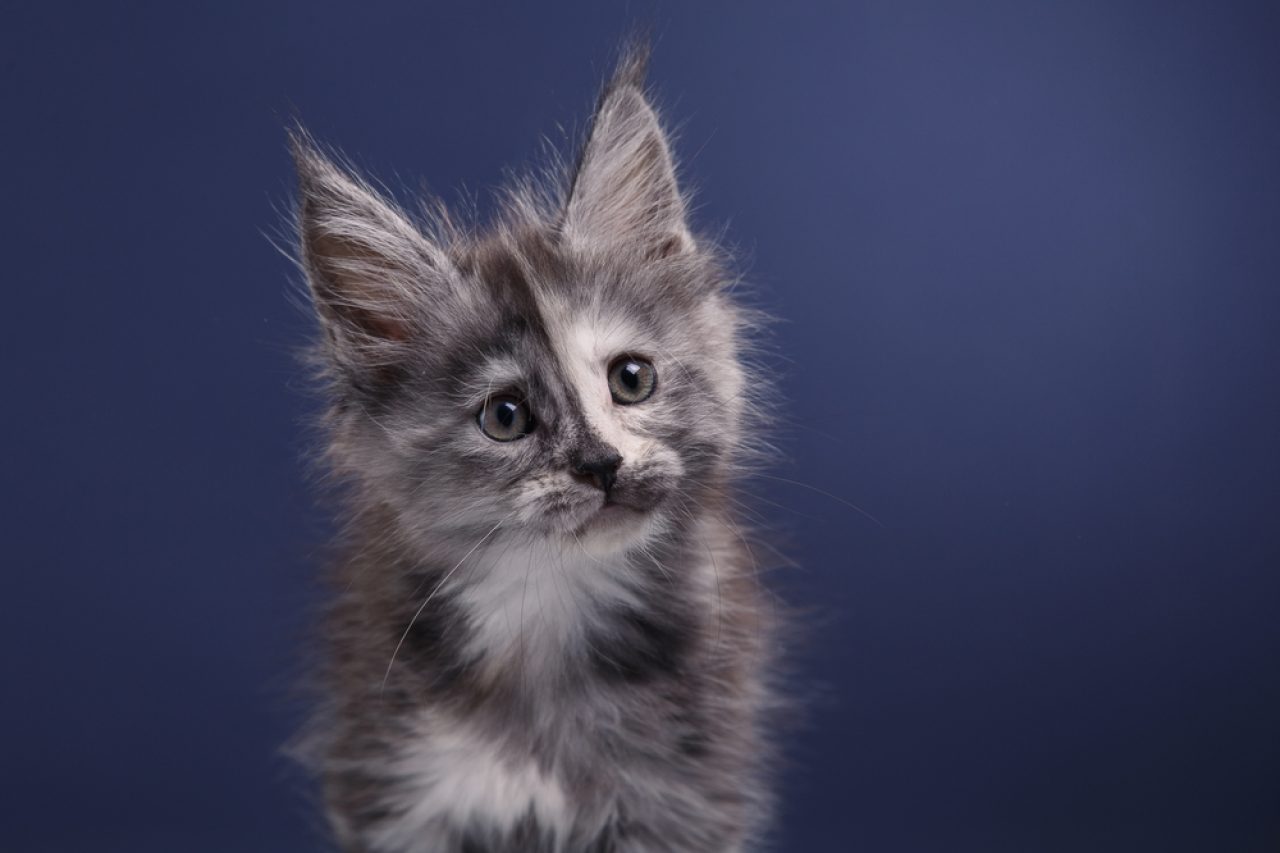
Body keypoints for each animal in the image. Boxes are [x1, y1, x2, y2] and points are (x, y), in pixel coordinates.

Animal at [293, 44, 778, 850]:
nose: (603, 465)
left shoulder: (682, 796)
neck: (549, 602)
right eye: (507, 416)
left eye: (632, 378)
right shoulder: (395, 785)